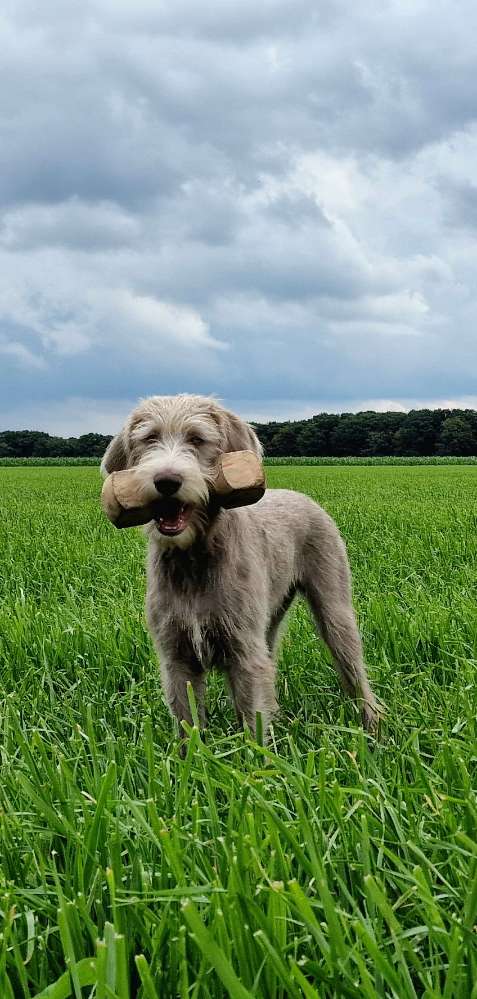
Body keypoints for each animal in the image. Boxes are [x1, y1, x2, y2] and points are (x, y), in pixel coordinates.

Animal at [102, 394, 378, 740]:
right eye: (150, 438)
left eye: (197, 439)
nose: (166, 481)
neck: (193, 559)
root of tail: (303, 496)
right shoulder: (175, 655)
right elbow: (187, 724)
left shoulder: (243, 651)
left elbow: (252, 720)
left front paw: (255, 754)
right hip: (270, 620)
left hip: (334, 607)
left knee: (353, 668)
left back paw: (373, 728)